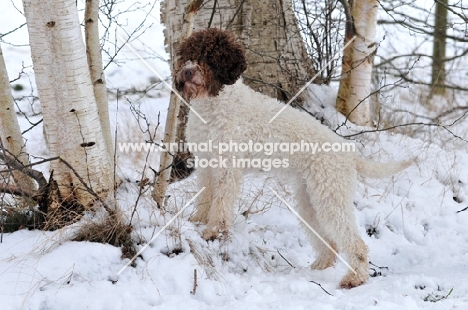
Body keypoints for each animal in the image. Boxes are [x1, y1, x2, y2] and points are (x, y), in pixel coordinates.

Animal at [174, 27, 412, 290]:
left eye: (210, 57)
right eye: (188, 54)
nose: (187, 71)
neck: (214, 105)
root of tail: (350, 154)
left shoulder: (228, 168)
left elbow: (220, 205)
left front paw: (212, 232)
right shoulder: (206, 164)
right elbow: (205, 197)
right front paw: (197, 220)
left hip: (330, 197)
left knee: (355, 242)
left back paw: (354, 278)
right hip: (310, 200)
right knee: (330, 243)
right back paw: (318, 267)